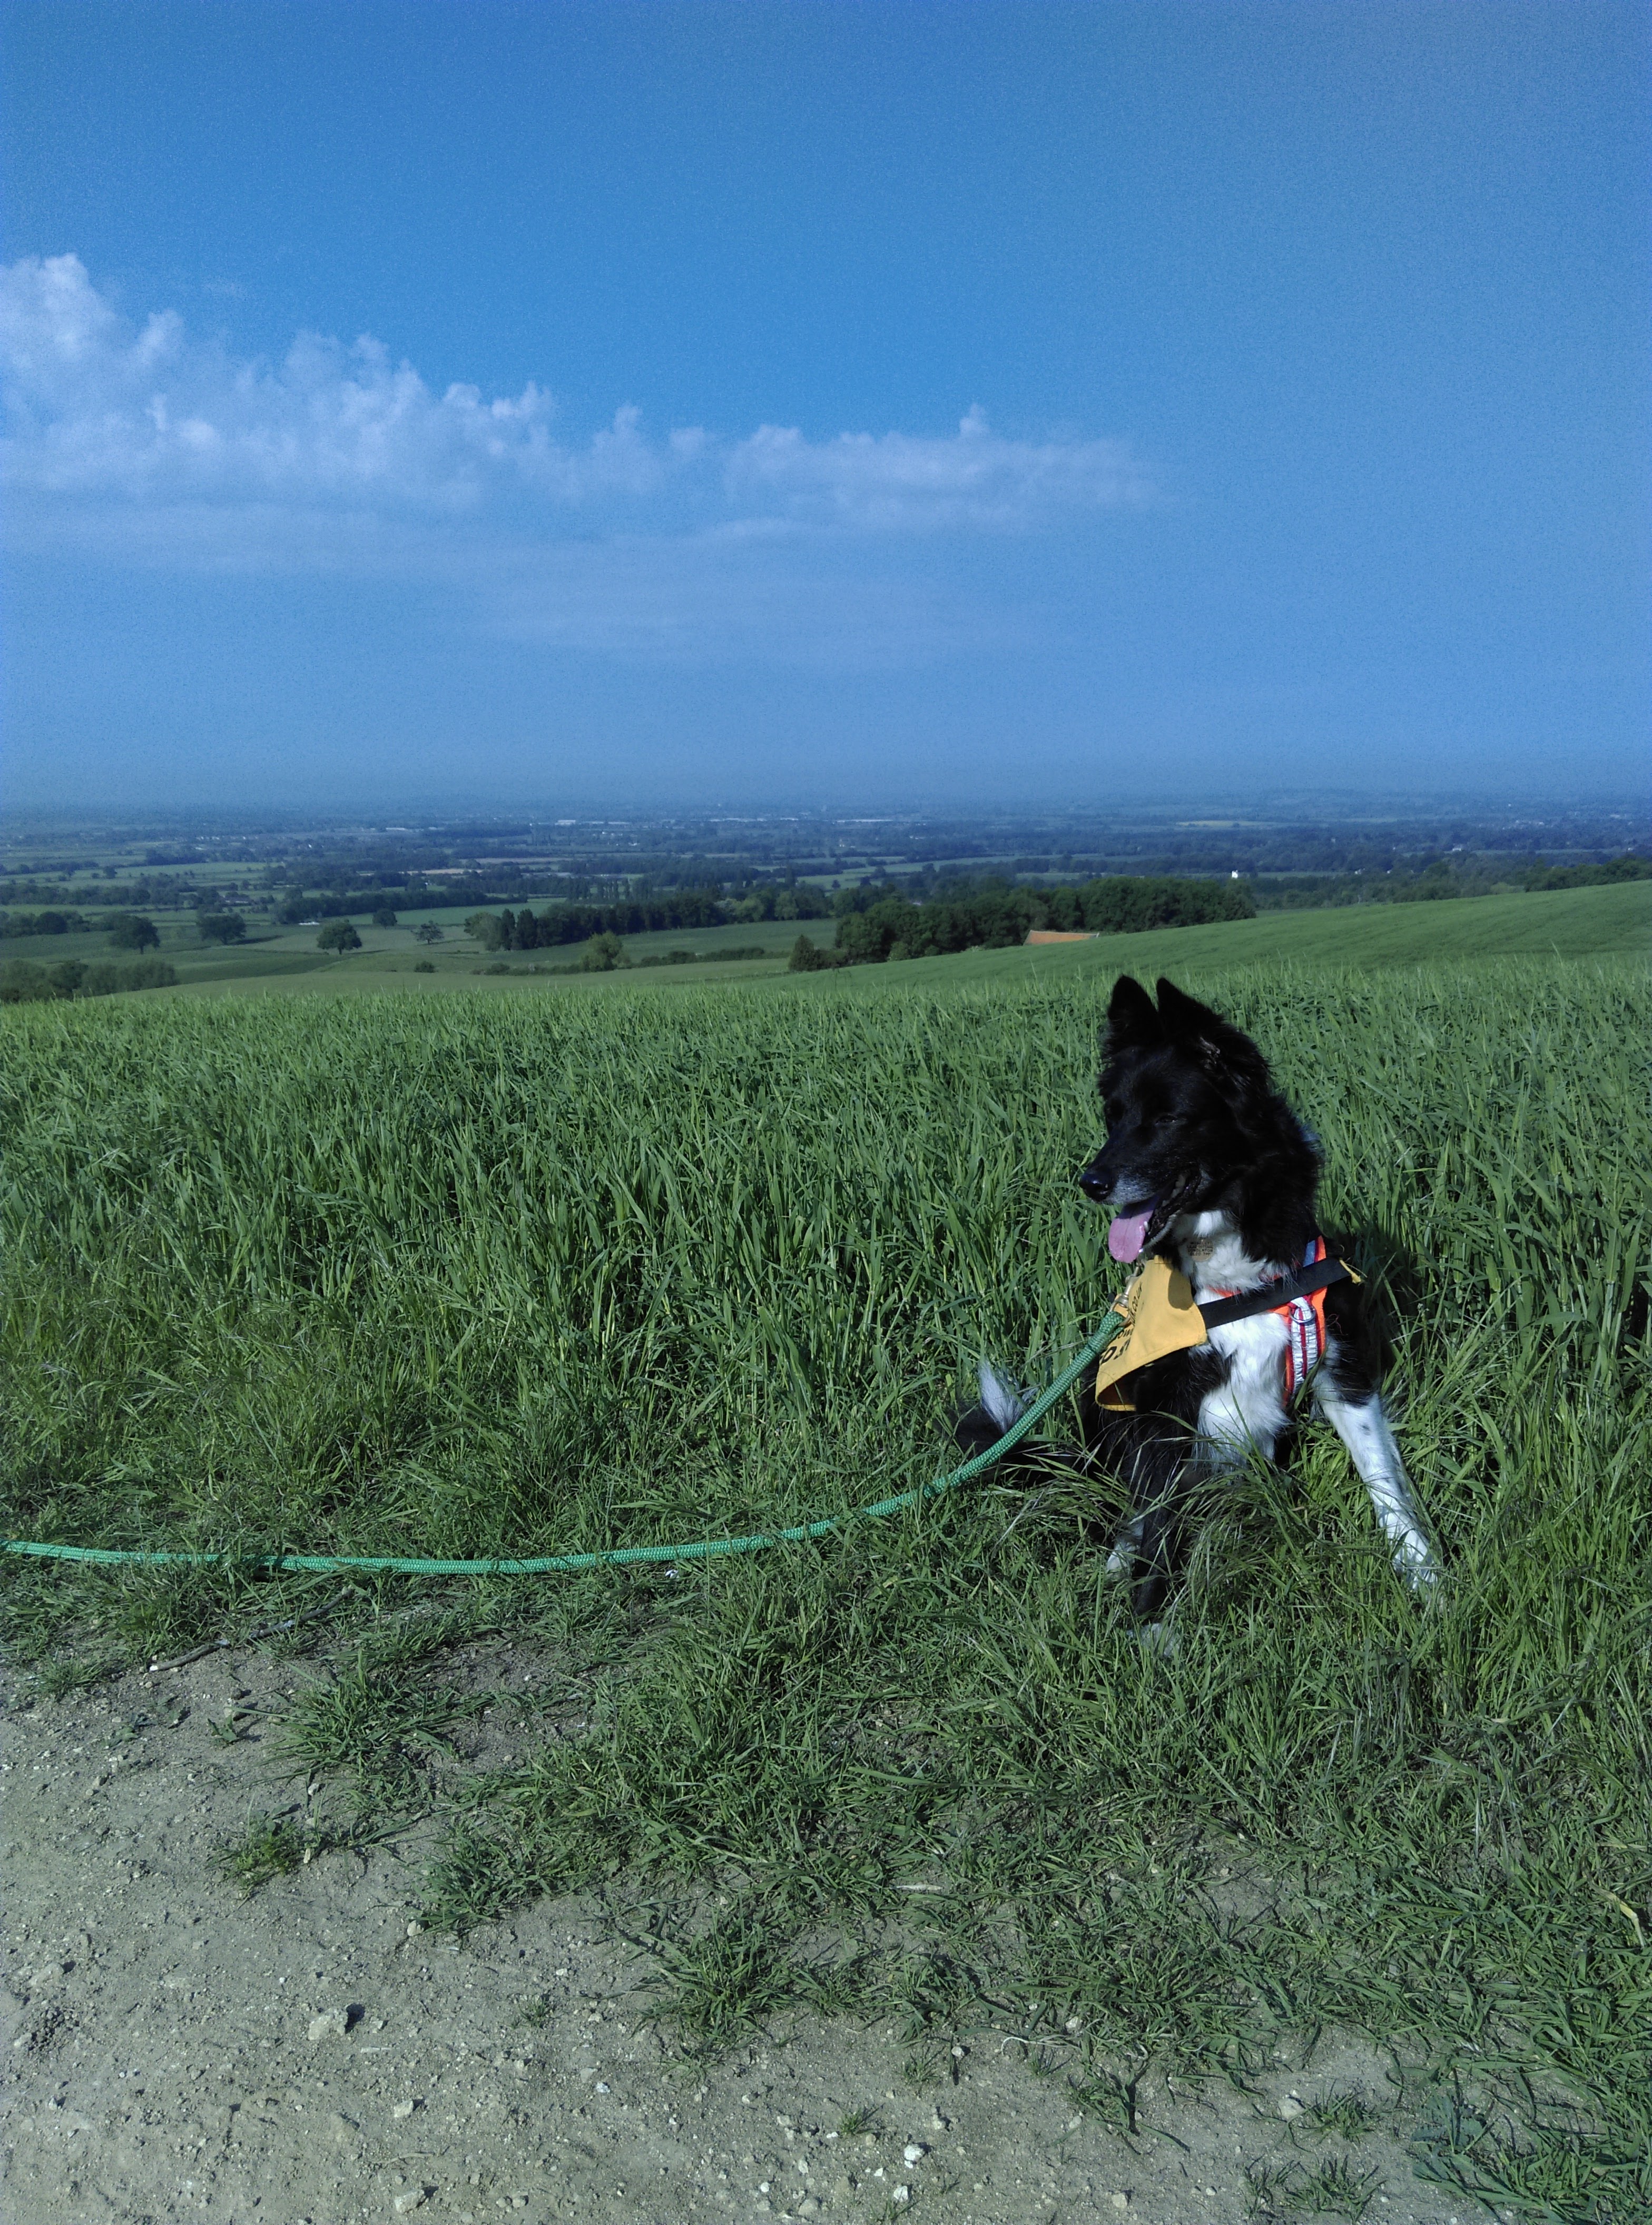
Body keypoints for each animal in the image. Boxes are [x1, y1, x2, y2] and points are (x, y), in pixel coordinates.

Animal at [966, 974, 1442, 1620]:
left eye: (1168, 1117)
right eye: (1114, 1117)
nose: (1090, 1183)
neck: (1232, 1267)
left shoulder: (1342, 1369)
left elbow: (1383, 1478)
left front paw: (1423, 1576)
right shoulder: (1164, 1401)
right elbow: (1158, 1525)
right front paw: (1150, 1624)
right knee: (1129, 1509)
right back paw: (1119, 1558)